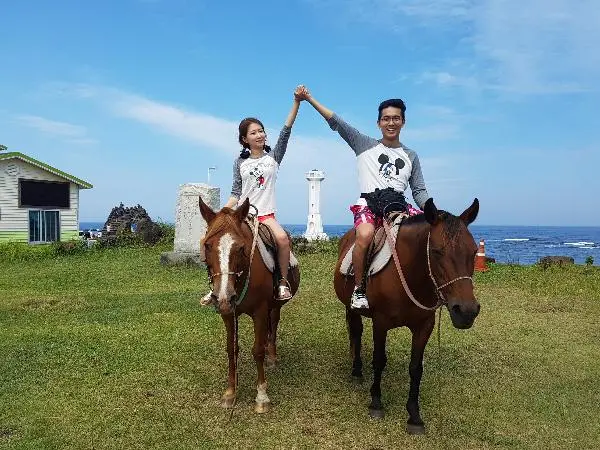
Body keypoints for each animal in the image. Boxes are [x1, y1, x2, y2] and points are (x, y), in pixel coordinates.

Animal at [199, 197, 300, 413]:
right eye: (208, 245)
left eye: (240, 248)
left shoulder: (260, 312)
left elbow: (257, 350)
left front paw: (261, 396)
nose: (223, 296)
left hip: (275, 306)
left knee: (274, 324)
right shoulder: (228, 313)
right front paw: (230, 392)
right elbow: (231, 349)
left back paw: (272, 356)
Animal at [334, 198, 481, 434]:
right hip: (351, 307)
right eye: (437, 251)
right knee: (356, 332)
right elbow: (379, 360)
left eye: (474, 251)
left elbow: (416, 368)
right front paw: (376, 403)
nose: (466, 311)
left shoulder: (424, 326)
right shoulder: (381, 323)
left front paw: (414, 415)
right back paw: (356, 371)